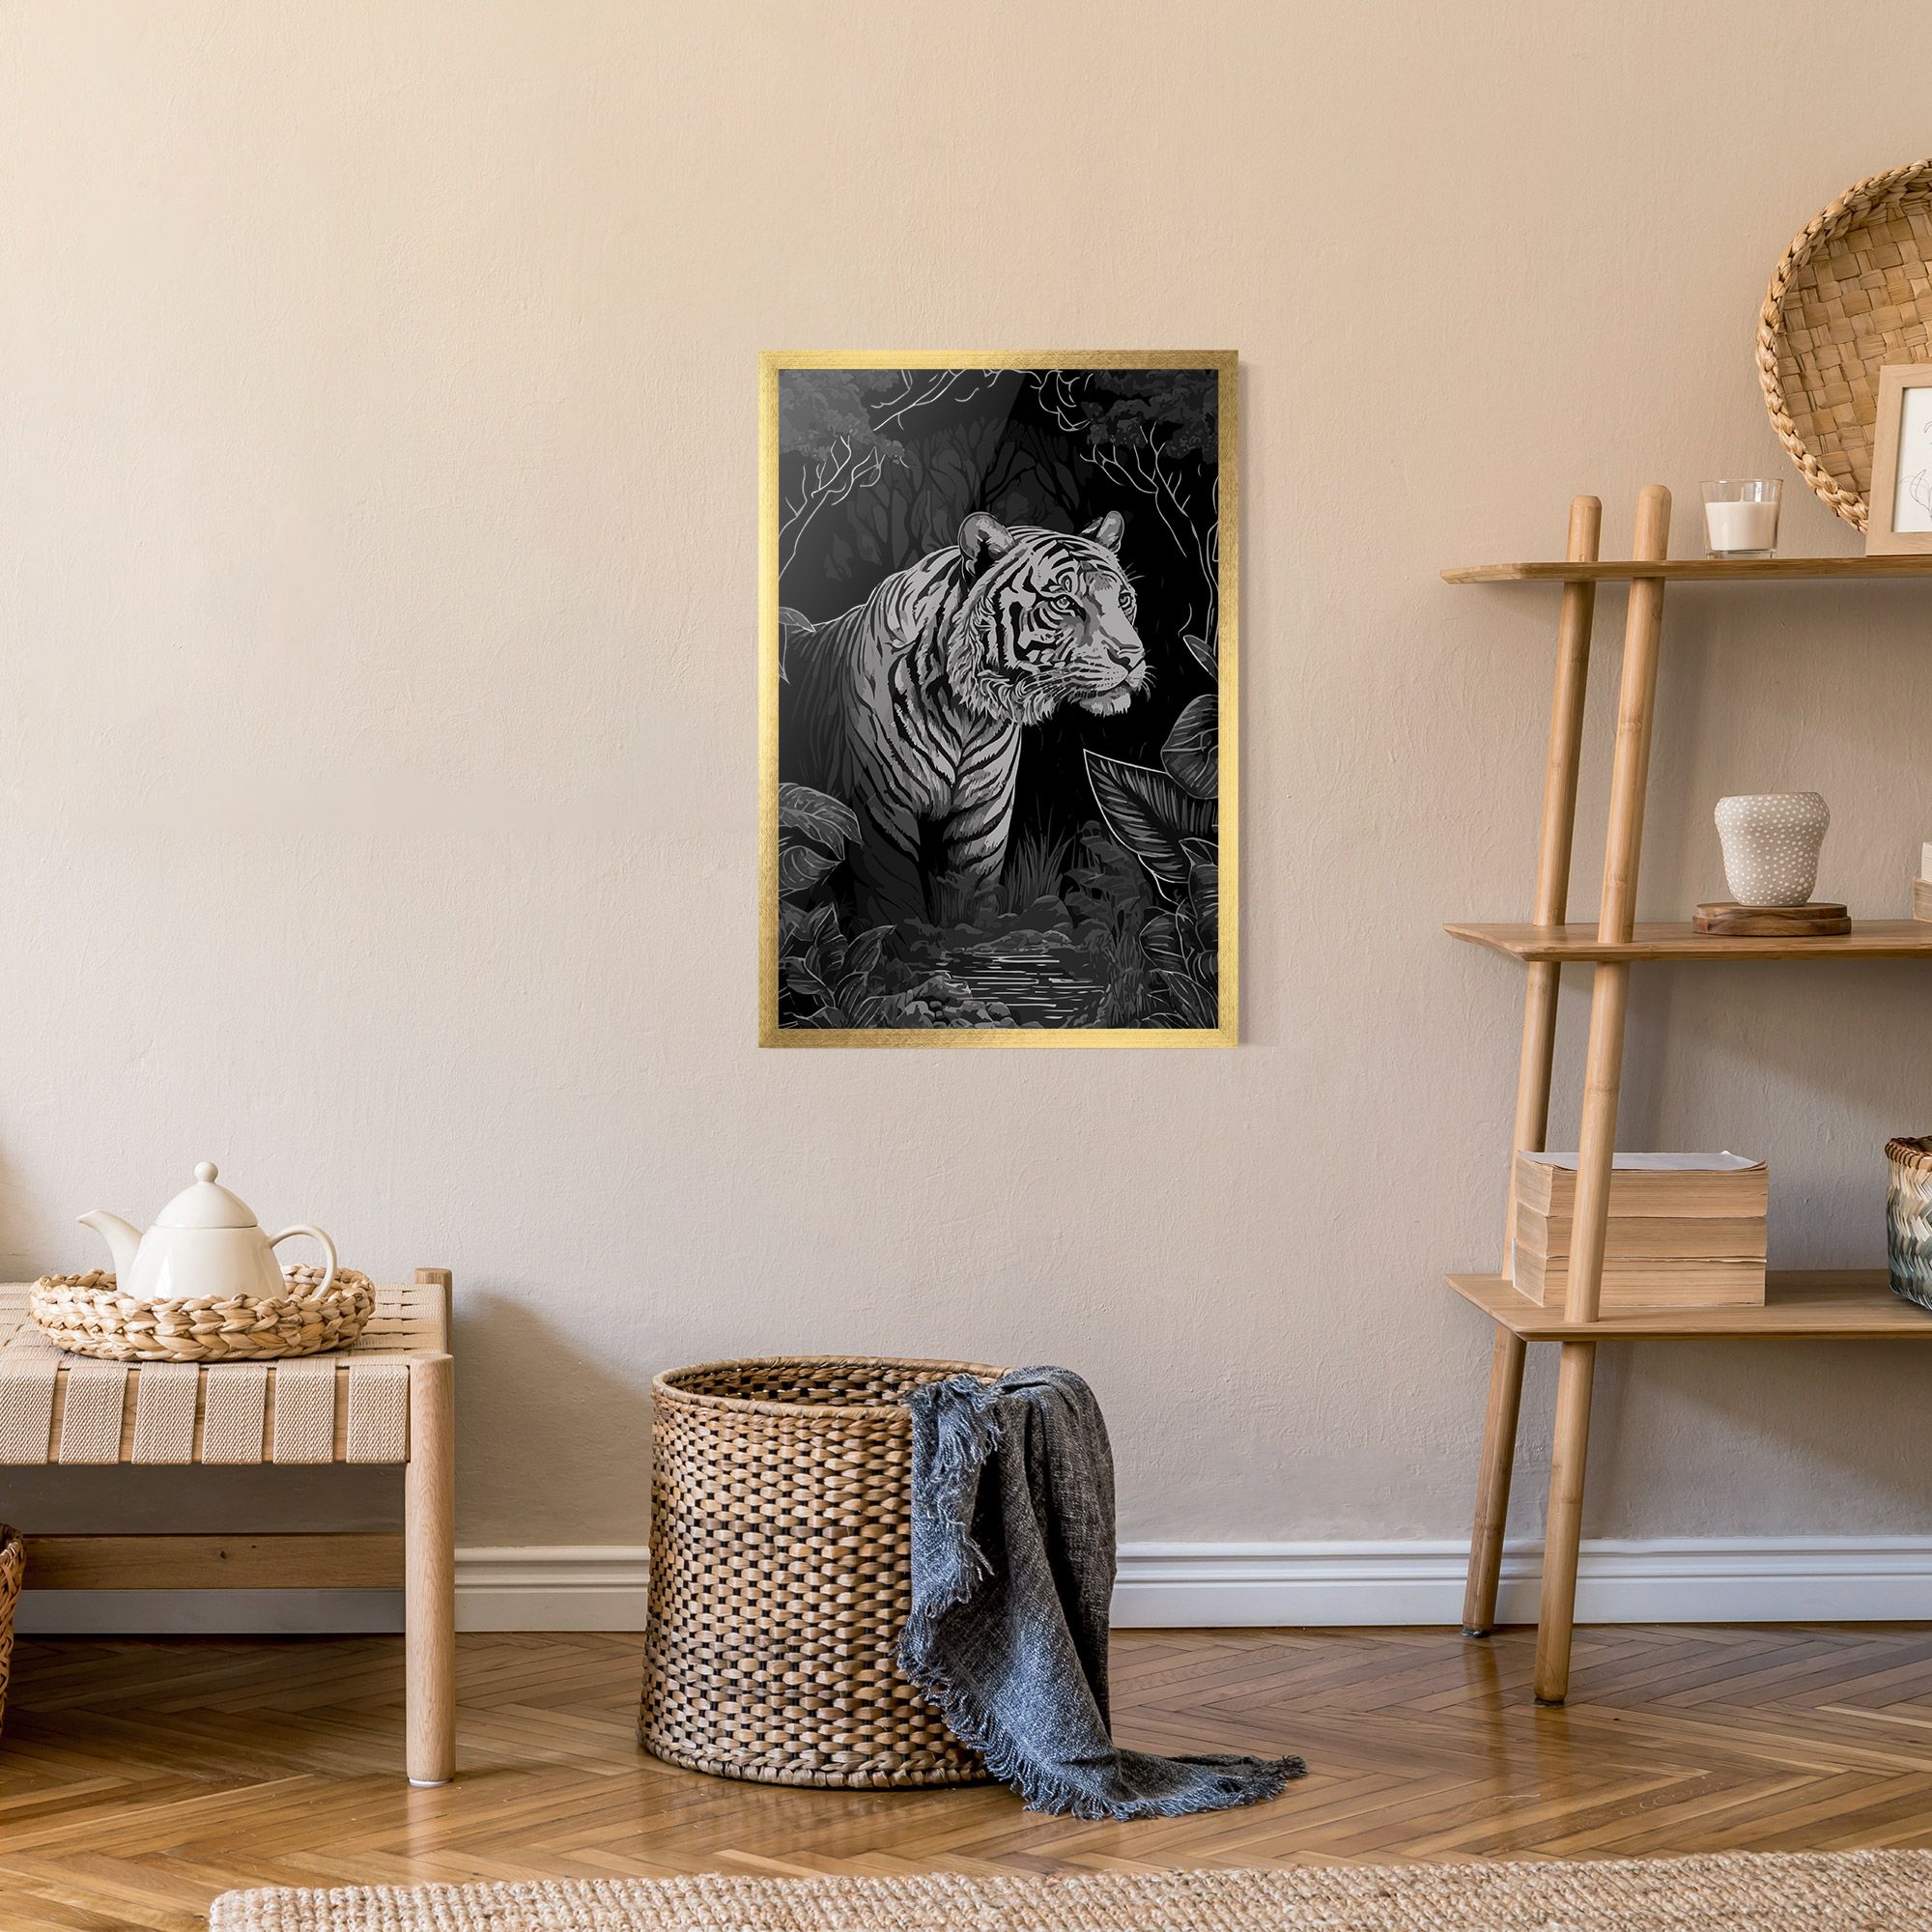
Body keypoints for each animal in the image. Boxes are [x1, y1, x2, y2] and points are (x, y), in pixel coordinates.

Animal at [779, 510, 1146, 926]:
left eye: (1123, 599)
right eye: (1065, 602)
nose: (1132, 657)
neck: (967, 714)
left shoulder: (984, 814)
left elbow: (972, 897)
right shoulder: (880, 811)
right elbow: (895, 904)